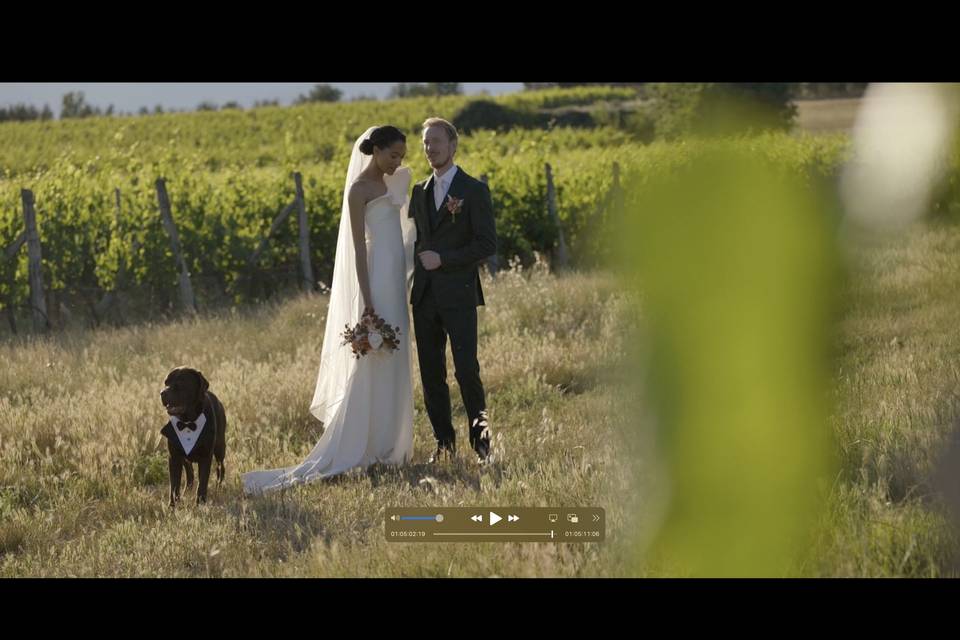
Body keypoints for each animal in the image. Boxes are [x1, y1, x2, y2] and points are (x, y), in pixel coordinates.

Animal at [162, 368, 230, 508]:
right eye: (166, 383)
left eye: (180, 384)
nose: (162, 393)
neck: (188, 421)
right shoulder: (174, 457)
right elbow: (174, 485)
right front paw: (172, 505)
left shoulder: (206, 456)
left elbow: (202, 483)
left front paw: (200, 503)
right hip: (183, 457)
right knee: (190, 474)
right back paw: (186, 491)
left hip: (220, 448)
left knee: (220, 467)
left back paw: (219, 487)